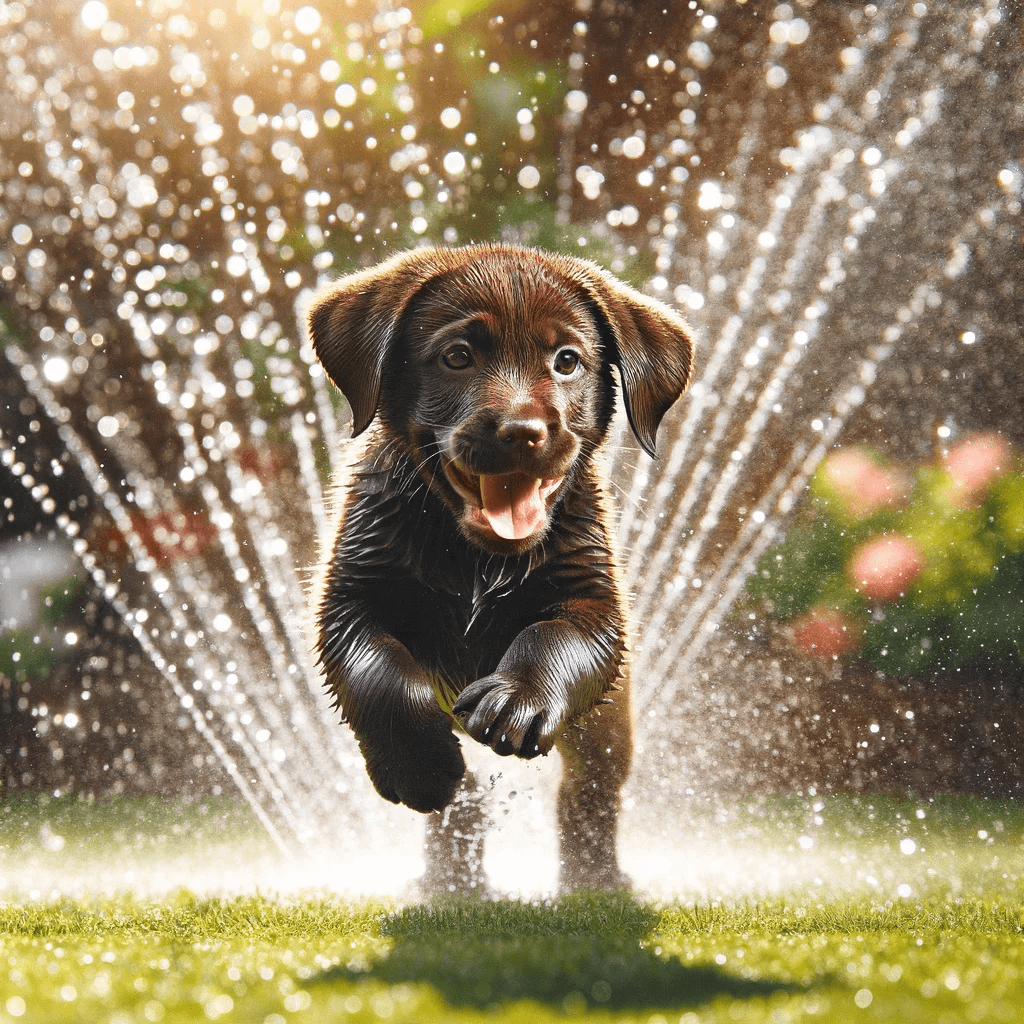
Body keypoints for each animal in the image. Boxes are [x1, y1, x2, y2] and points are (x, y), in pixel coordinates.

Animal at [309, 245, 696, 888]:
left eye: (566, 361)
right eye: (457, 357)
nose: (522, 433)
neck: (476, 560)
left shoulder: (595, 605)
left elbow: (552, 638)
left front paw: (519, 698)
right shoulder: (350, 599)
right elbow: (380, 676)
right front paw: (418, 767)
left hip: (609, 728)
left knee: (588, 792)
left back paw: (595, 880)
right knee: (463, 805)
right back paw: (447, 883)